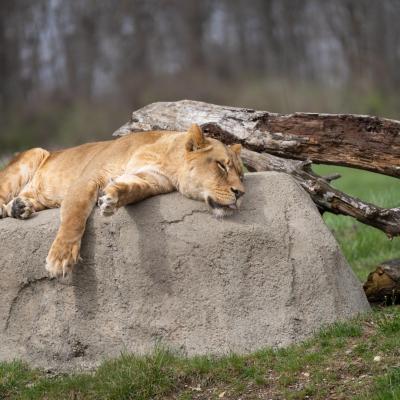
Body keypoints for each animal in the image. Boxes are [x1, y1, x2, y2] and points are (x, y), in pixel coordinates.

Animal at [0, 125, 244, 278]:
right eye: (221, 166)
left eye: (241, 175)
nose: (240, 193)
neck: (167, 160)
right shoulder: (86, 178)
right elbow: (74, 217)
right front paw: (60, 259)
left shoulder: (150, 180)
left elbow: (132, 189)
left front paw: (111, 199)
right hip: (34, 153)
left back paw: (20, 207)